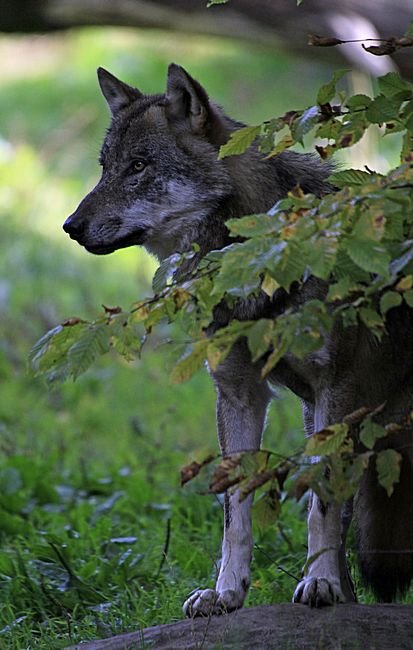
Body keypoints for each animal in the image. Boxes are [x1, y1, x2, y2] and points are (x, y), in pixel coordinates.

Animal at [63, 63, 412, 616]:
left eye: (138, 166)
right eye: (105, 167)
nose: (69, 226)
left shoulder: (338, 390)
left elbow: (319, 504)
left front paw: (320, 585)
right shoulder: (239, 393)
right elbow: (236, 510)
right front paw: (227, 593)